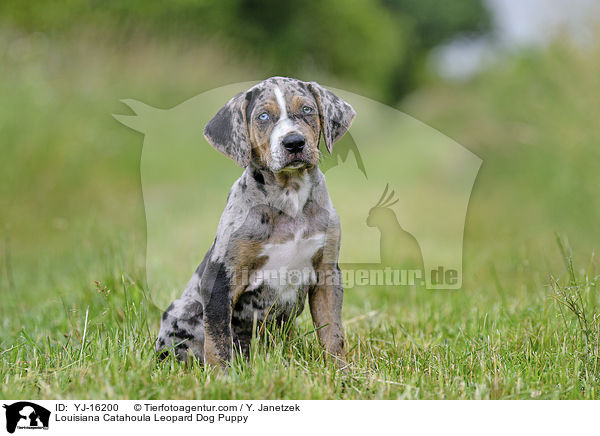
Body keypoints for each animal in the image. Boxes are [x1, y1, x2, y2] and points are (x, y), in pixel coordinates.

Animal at [156, 76, 356, 366]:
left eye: (307, 109)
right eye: (263, 116)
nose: (294, 143)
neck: (290, 196)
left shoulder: (327, 274)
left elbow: (333, 333)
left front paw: (340, 371)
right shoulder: (220, 279)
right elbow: (218, 341)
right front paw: (223, 376)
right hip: (183, 309)